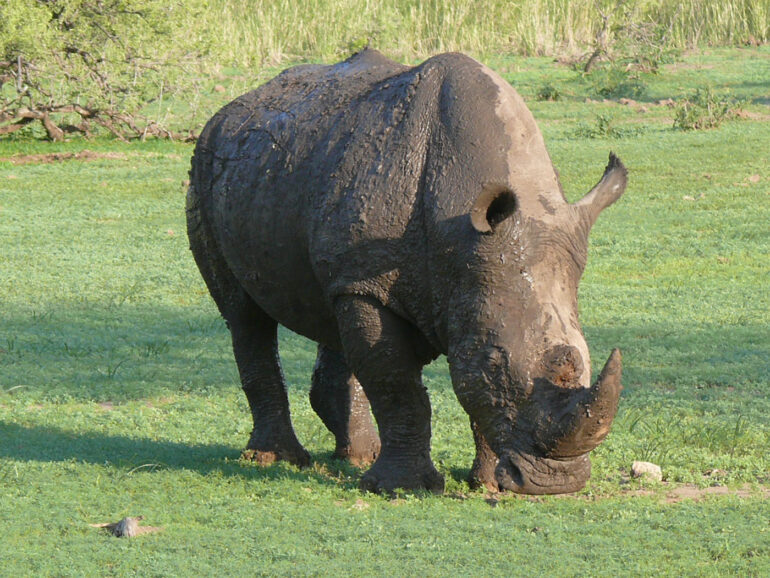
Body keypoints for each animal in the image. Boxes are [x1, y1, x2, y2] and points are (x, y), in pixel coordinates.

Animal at [186, 49, 627, 495]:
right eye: (493, 362)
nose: (556, 482)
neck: (457, 234)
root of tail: (230, 109)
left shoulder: (457, 278)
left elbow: (461, 386)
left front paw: (487, 485)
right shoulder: (373, 282)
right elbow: (396, 384)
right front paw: (402, 487)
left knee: (331, 308)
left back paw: (358, 456)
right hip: (206, 169)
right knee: (244, 315)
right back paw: (276, 458)